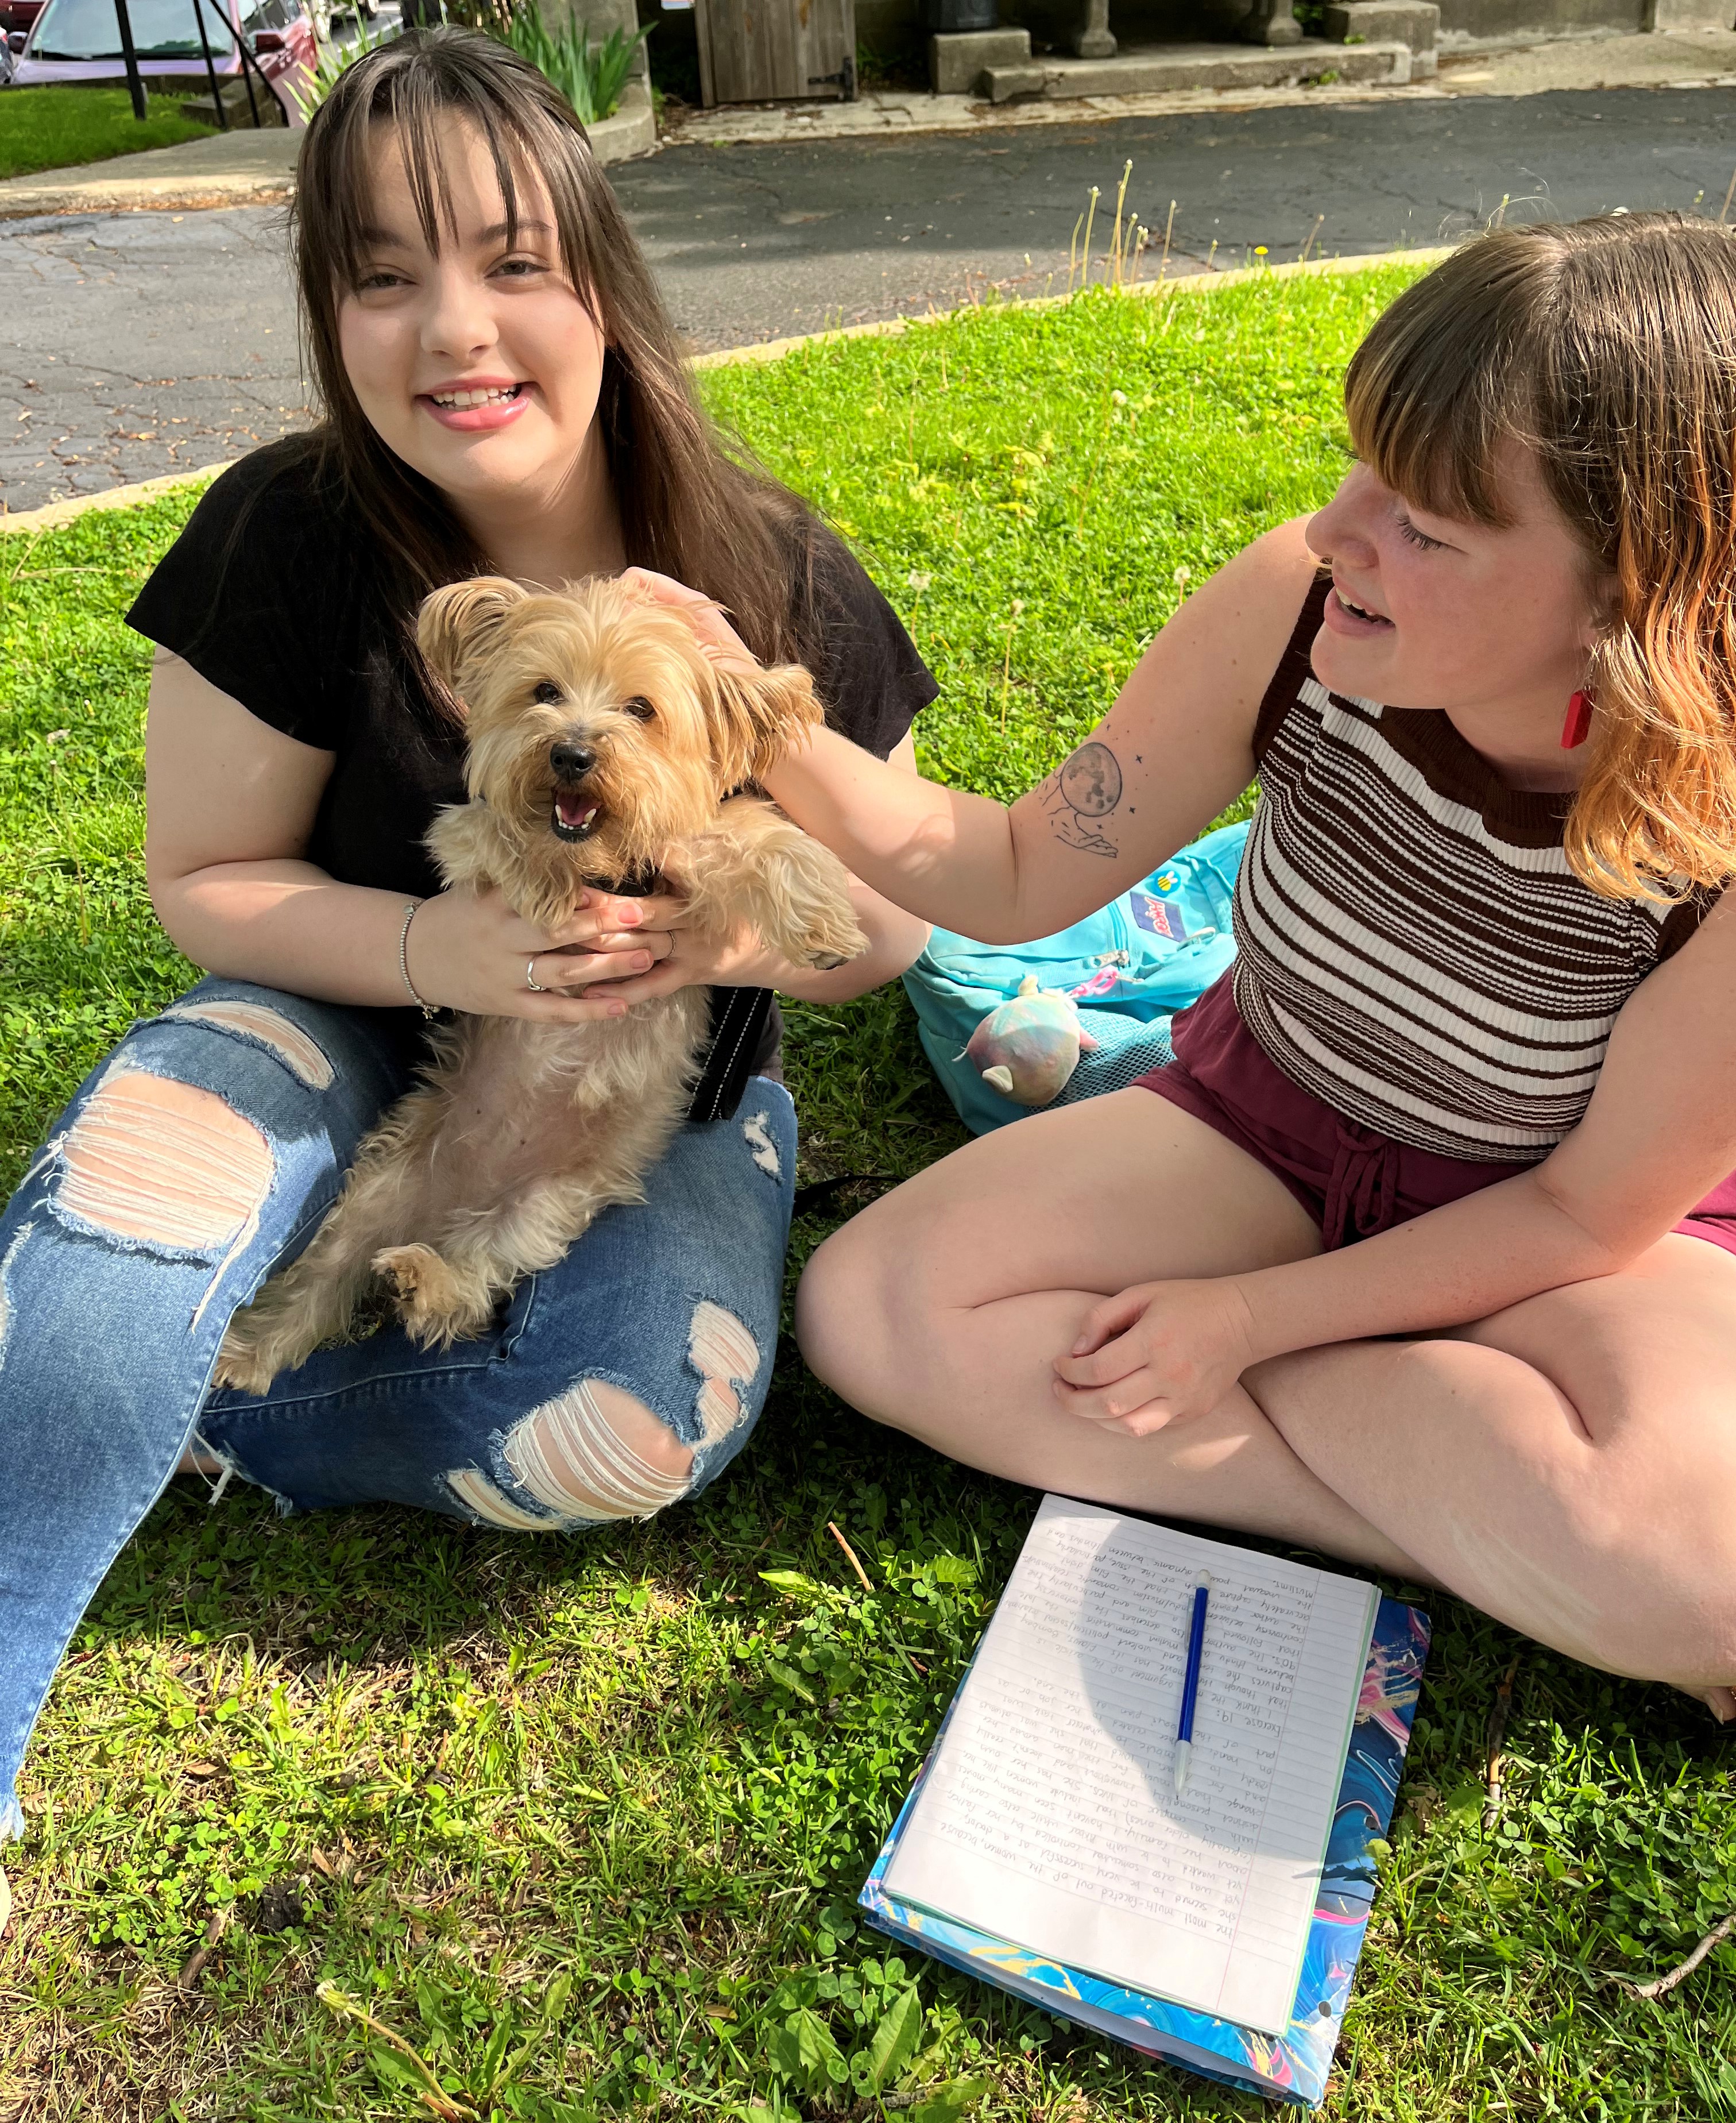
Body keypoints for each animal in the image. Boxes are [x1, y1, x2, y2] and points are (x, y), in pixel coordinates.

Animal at [216, 573, 865, 1392]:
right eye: (544, 691)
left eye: (641, 709)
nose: (571, 753)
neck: (601, 854)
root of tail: (443, 1215)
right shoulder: (462, 839)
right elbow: (499, 836)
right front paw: (547, 885)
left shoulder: (690, 855)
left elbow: (761, 836)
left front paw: (824, 926)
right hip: (371, 1197)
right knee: (319, 1281)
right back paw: (248, 1354)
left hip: (543, 1209)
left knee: (472, 1284)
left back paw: (423, 1282)